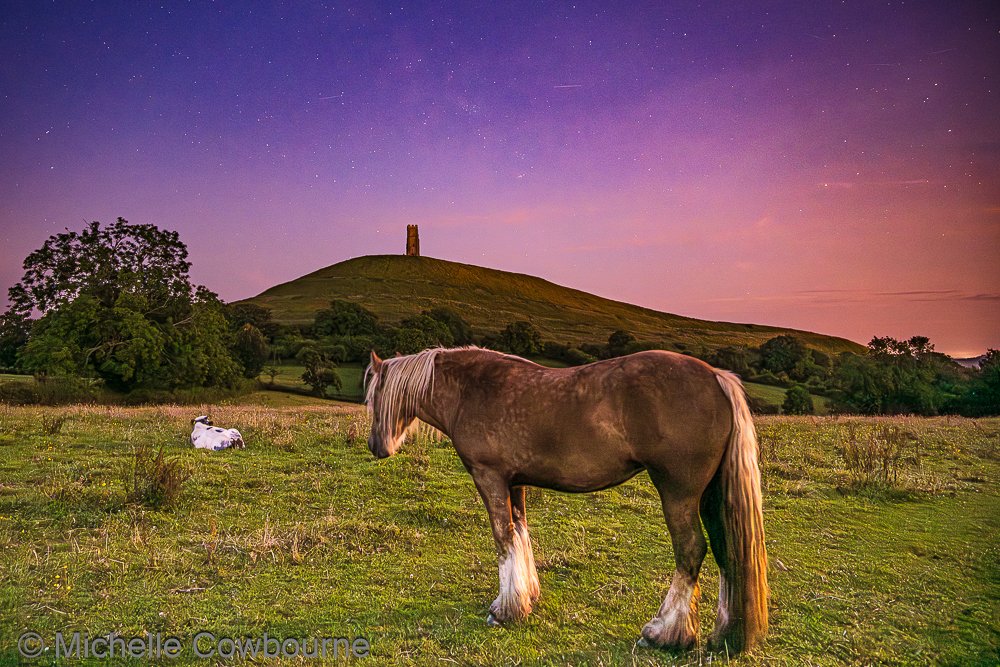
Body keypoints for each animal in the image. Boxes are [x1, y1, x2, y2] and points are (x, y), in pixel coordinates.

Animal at [364, 346, 768, 653]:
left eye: (373, 398)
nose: (376, 446)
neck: (473, 390)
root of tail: (716, 377)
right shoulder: (514, 483)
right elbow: (520, 535)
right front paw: (526, 598)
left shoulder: (490, 478)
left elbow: (503, 539)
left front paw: (505, 611)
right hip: (709, 496)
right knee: (725, 551)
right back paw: (724, 635)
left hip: (678, 493)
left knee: (691, 551)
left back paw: (665, 634)